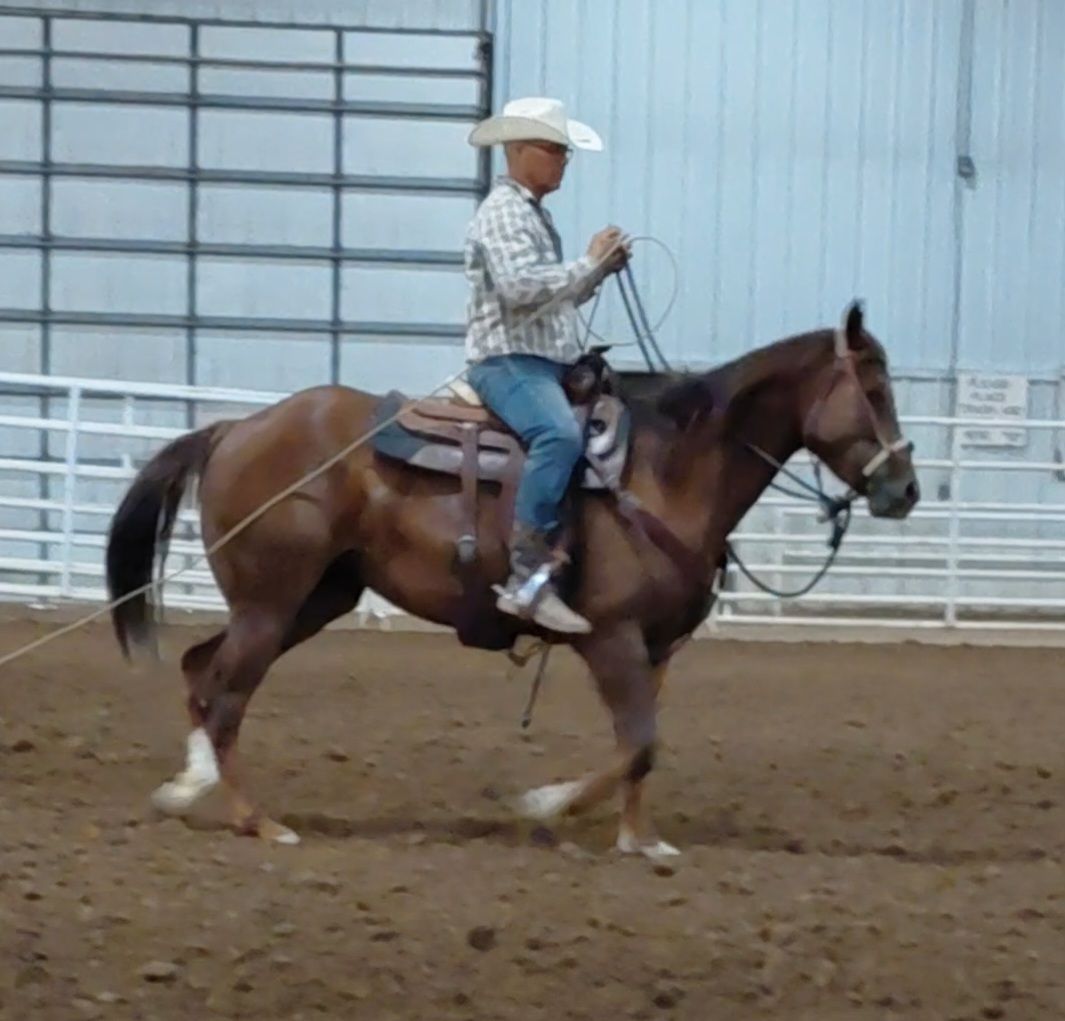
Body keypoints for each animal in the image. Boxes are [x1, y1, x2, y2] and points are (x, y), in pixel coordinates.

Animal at [104, 302, 918, 857]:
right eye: (875, 390)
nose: (904, 490)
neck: (664, 471)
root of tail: (234, 429)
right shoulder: (612, 637)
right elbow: (636, 745)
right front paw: (541, 804)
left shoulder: (655, 647)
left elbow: (643, 749)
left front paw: (639, 839)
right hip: (272, 603)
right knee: (227, 696)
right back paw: (259, 821)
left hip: (311, 599)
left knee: (201, 671)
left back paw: (187, 788)